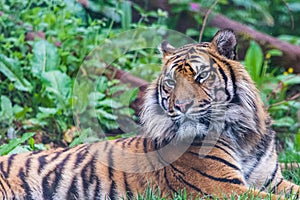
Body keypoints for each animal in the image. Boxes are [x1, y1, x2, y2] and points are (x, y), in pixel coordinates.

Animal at [0, 28, 300, 199]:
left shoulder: (272, 181)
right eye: (170, 83)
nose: (182, 106)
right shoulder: (221, 188)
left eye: (201, 76)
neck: (241, 135)